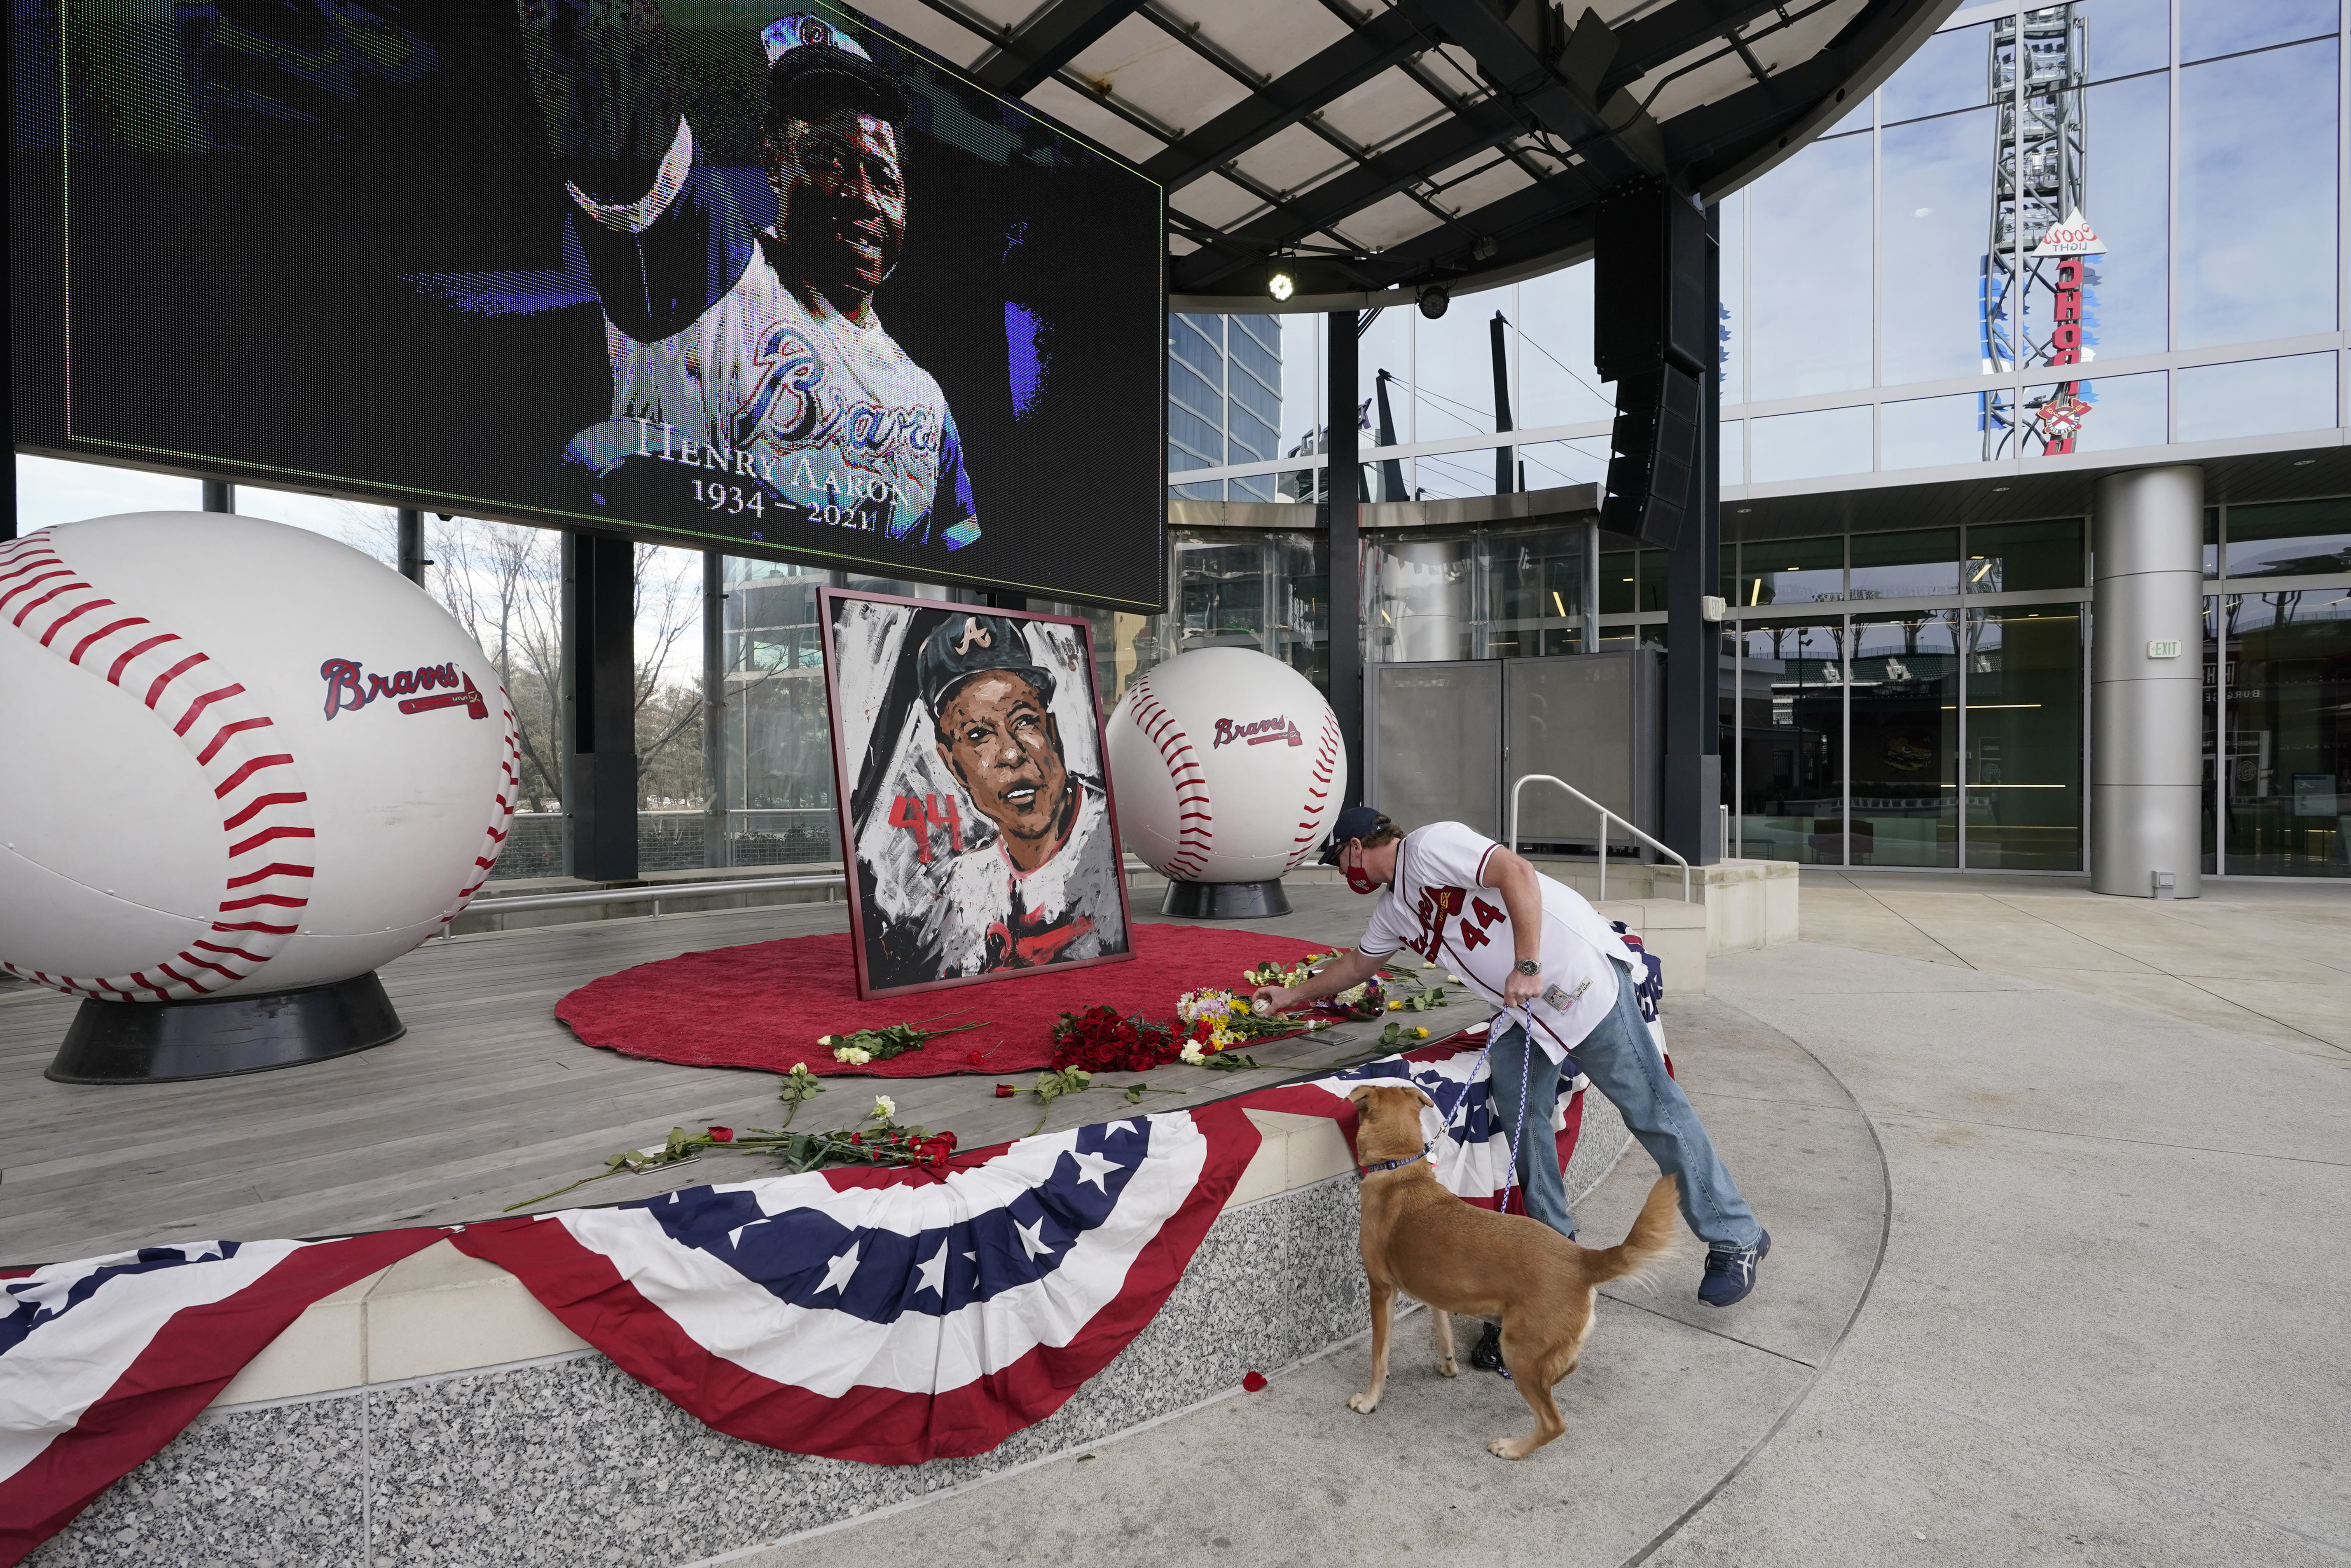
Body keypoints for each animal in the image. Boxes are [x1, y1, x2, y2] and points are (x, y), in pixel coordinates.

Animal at [1345, 1081, 1693, 1457]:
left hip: (1520, 1350)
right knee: (1568, 1366)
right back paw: (1554, 1378)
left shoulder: (1381, 1290)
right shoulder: (1435, 1288)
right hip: (1541, 1346)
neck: (1400, 1169)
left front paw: (1370, 1400)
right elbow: (1442, 1329)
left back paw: (1512, 1448)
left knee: (1553, 1423)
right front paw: (1447, 1364)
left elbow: (1379, 1356)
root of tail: (1582, 1259)